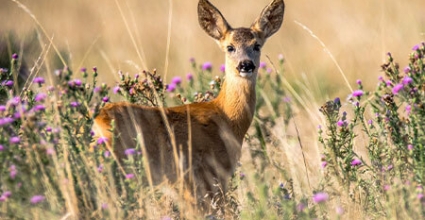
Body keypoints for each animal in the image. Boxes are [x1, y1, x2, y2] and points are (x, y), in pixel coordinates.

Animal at [93, 0, 284, 211]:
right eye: (230, 47)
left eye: (257, 45)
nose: (246, 65)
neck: (226, 118)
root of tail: (98, 122)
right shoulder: (207, 175)